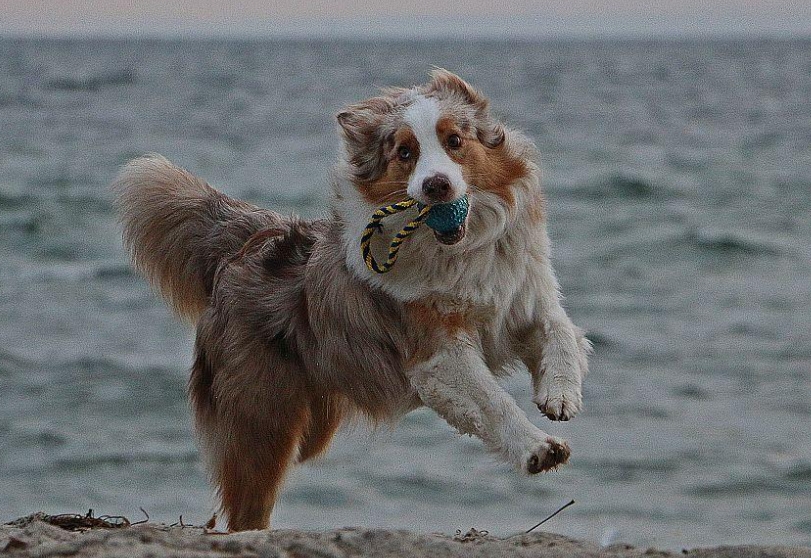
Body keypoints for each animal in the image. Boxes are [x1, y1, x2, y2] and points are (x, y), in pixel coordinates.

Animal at [112, 70, 588, 532]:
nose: (435, 185)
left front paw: (559, 393)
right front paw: (537, 447)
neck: (458, 250)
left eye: (454, 141)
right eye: (405, 152)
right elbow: (491, 399)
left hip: (308, 426)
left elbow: (562, 330)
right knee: (245, 507)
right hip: (263, 419)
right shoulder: (436, 351)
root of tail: (245, 245)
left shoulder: (520, 299)